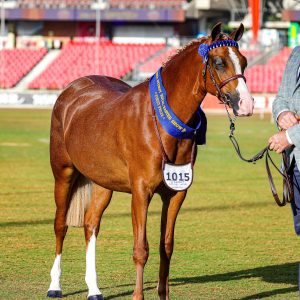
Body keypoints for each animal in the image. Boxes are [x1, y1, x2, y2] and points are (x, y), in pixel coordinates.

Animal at [47, 23, 253, 300]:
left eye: (244, 61)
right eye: (219, 62)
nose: (246, 104)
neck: (161, 119)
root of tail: (72, 90)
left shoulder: (176, 193)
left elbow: (166, 246)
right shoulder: (141, 192)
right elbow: (140, 249)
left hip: (102, 182)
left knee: (90, 224)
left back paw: (94, 288)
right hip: (63, 173)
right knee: (60, 224)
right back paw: (55, 285)